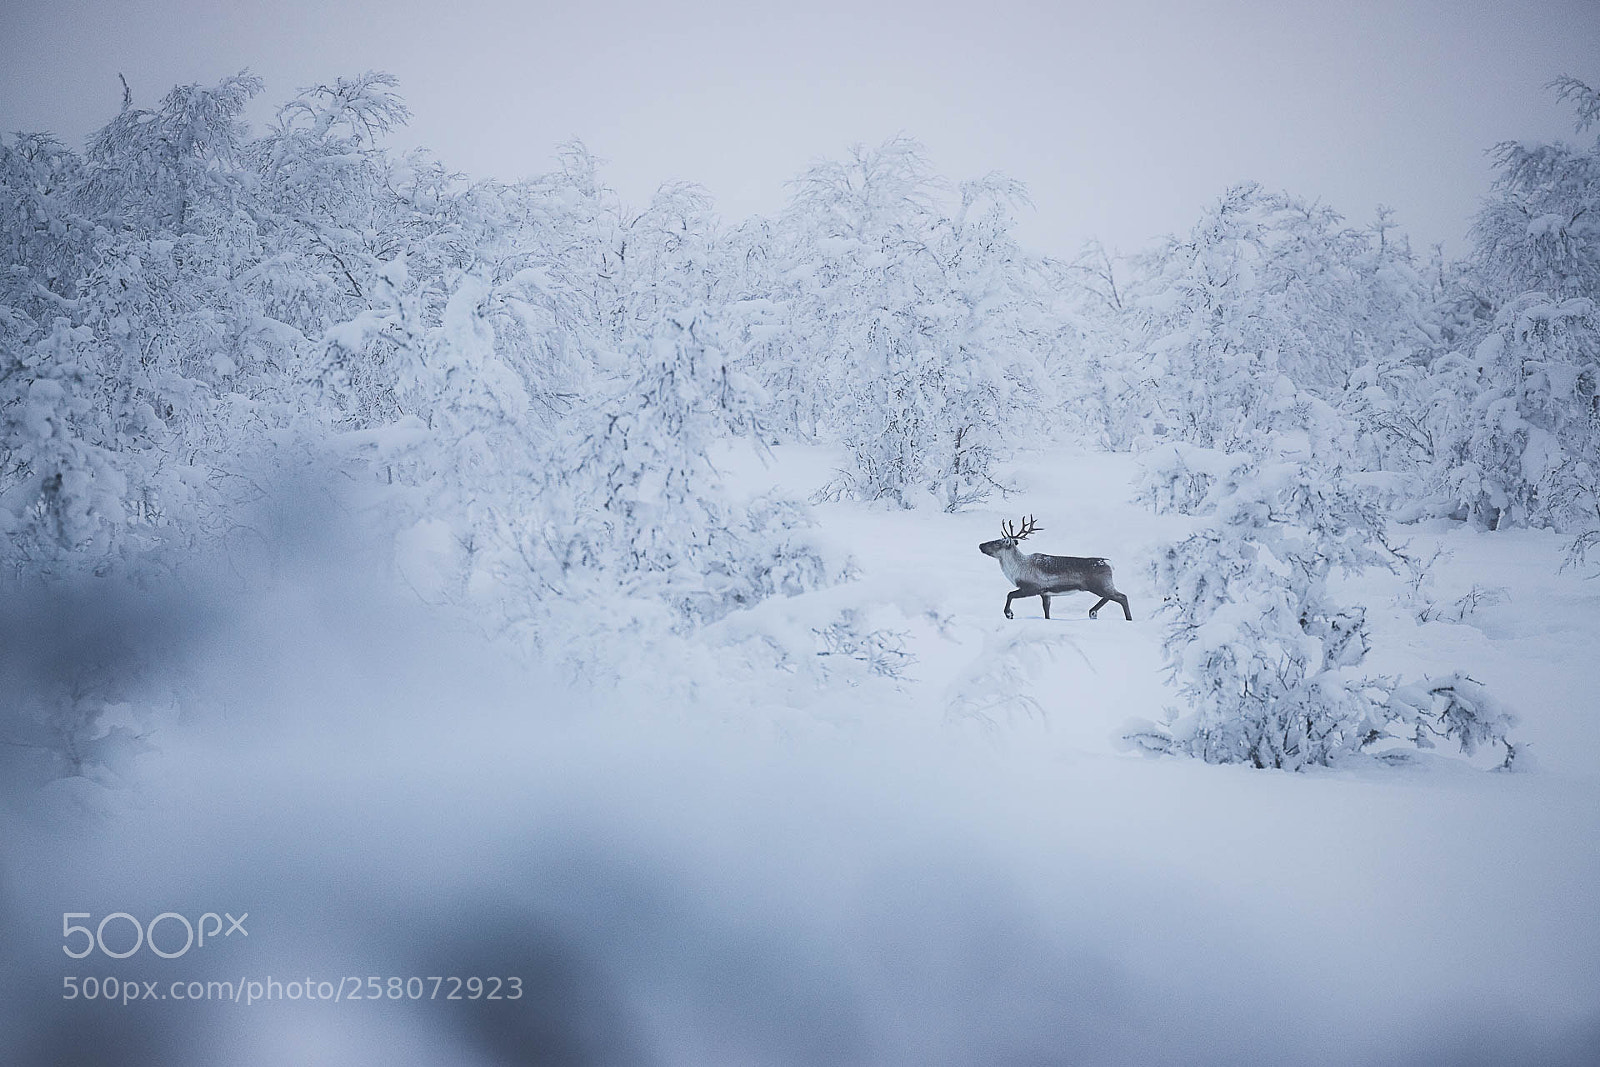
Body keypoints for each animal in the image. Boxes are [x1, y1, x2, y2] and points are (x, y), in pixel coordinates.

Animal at [978, 516, 1132, 621]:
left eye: (997, 542)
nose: (980, 545)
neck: (1017, 569)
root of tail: (1110, 564)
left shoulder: (1032, 588)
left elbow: (1009, 594)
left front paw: (1009, 614)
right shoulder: (1046, 594)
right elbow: (1046, 612)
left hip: (1099, 585)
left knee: (1122, 597)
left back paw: (1127, 619)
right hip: (1102, 585)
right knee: (1111, 596)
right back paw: (1092, 612)